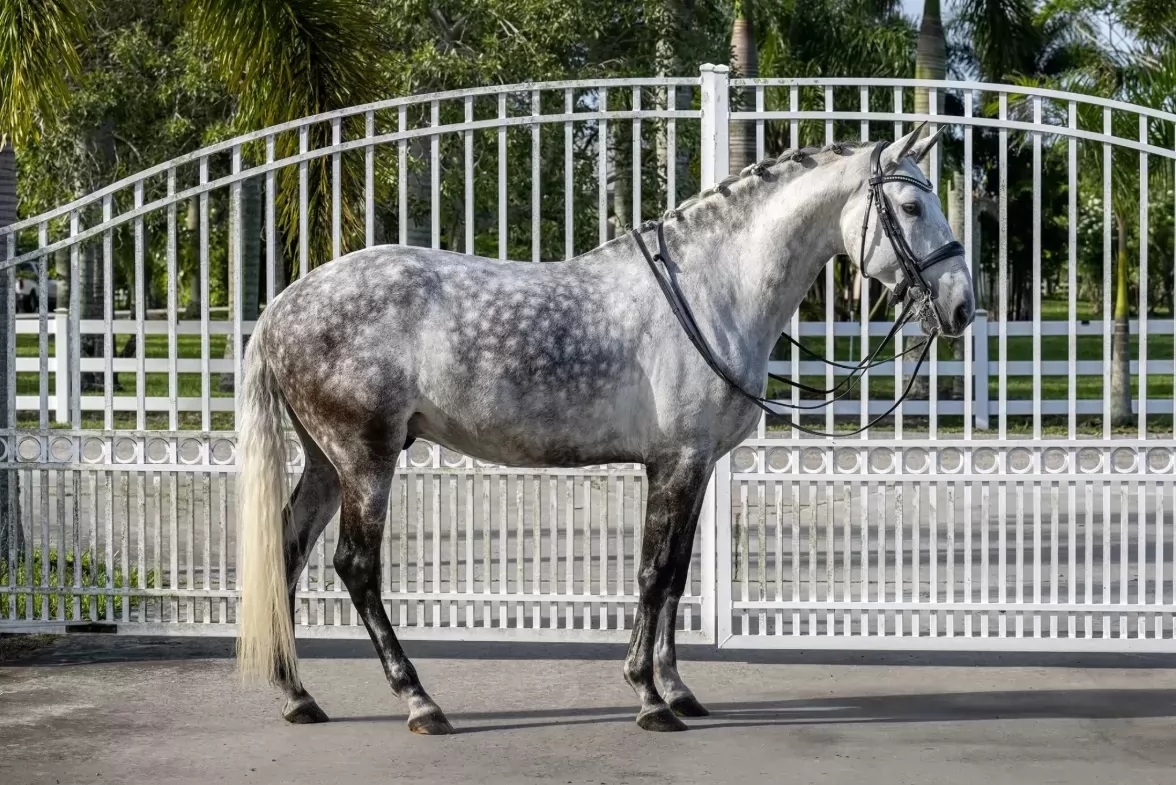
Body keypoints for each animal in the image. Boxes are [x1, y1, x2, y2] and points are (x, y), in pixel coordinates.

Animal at [234, 124, 975, 734]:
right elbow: (652, 572)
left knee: (286, 549)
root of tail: (282, 305)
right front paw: (648, 698)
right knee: (355, 566)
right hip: (366, 459)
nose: (963, 305)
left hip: (326, 462)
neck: (710, 290)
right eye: (912, 207)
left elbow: (675, 573)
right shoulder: (675, 463)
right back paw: (419, 701)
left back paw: (297, 695)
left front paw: (675, 689)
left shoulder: (694, 465)